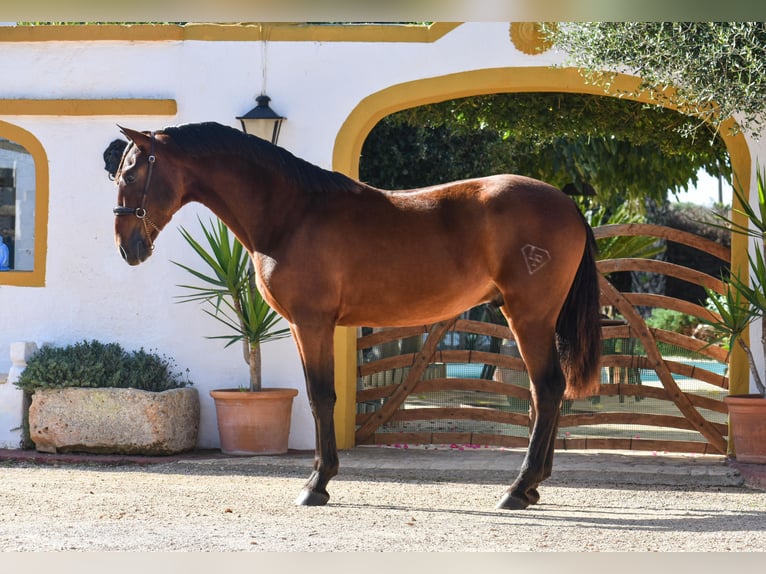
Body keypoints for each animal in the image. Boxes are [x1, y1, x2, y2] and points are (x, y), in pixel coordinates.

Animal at [109, 122, 600, 512]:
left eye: (131, 173)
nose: (127, 248)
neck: (291, 212)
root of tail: (566, 203)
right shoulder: (303, 326)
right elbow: (318, 396)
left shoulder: (312, 323)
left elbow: (321, 396)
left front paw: (317, 483)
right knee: (544, 392)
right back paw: (533, 487)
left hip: (529, 316)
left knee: (547, 388)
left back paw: (518, 488)